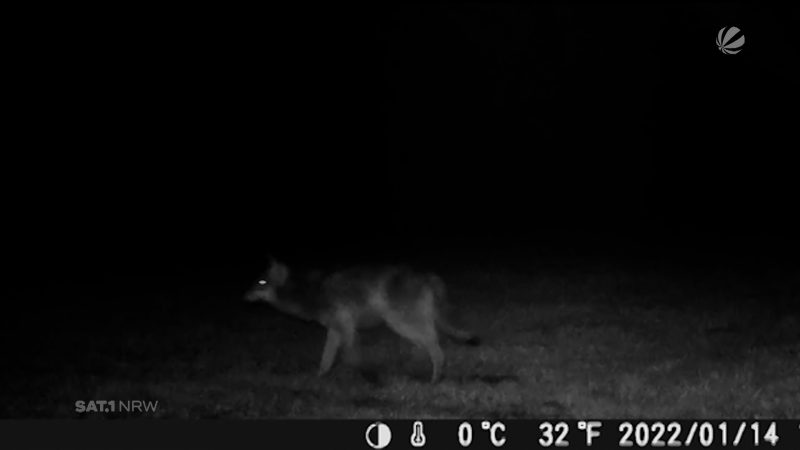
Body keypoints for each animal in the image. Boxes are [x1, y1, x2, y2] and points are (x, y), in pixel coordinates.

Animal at [242, 258, 482, 382]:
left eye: (261, 283)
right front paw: (319, 377)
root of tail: (427, 275)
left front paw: (369, 377)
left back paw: (434, 378)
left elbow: (350, 357)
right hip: (405, 324)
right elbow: (326, 358)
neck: (310, 292)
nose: (243, 296)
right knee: (429, 344)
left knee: (435, 346)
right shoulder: (336, 329)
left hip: (399, 323)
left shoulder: (346, 327)